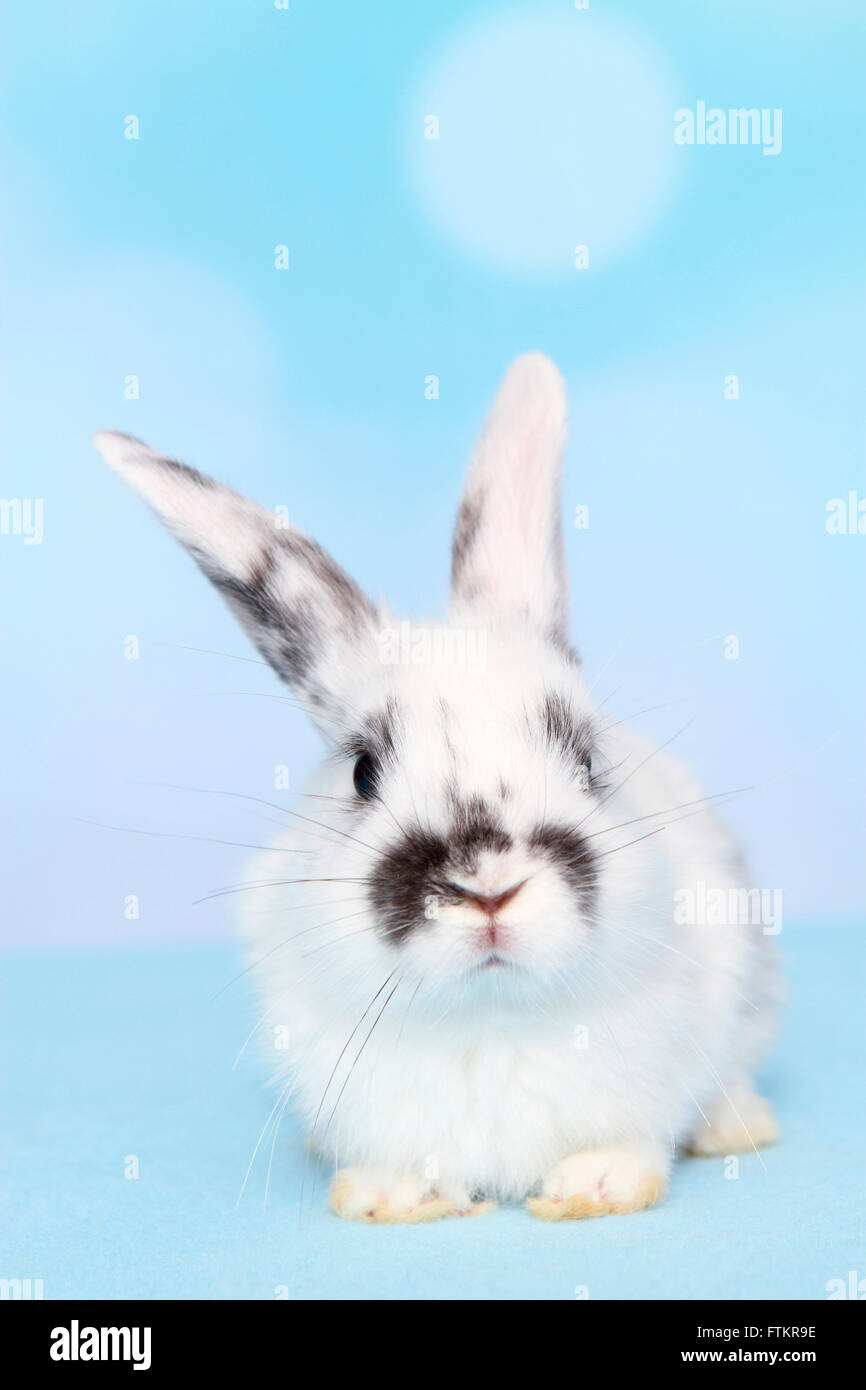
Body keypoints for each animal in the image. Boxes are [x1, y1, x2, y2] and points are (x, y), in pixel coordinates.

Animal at [93, 353, 780, 1223]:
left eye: (588, 758)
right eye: (362, 771)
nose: (487, 889)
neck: (490, 1018)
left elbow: (633, 1142)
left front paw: (595, 1187)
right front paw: (390, 1197)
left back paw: (736, 1128)